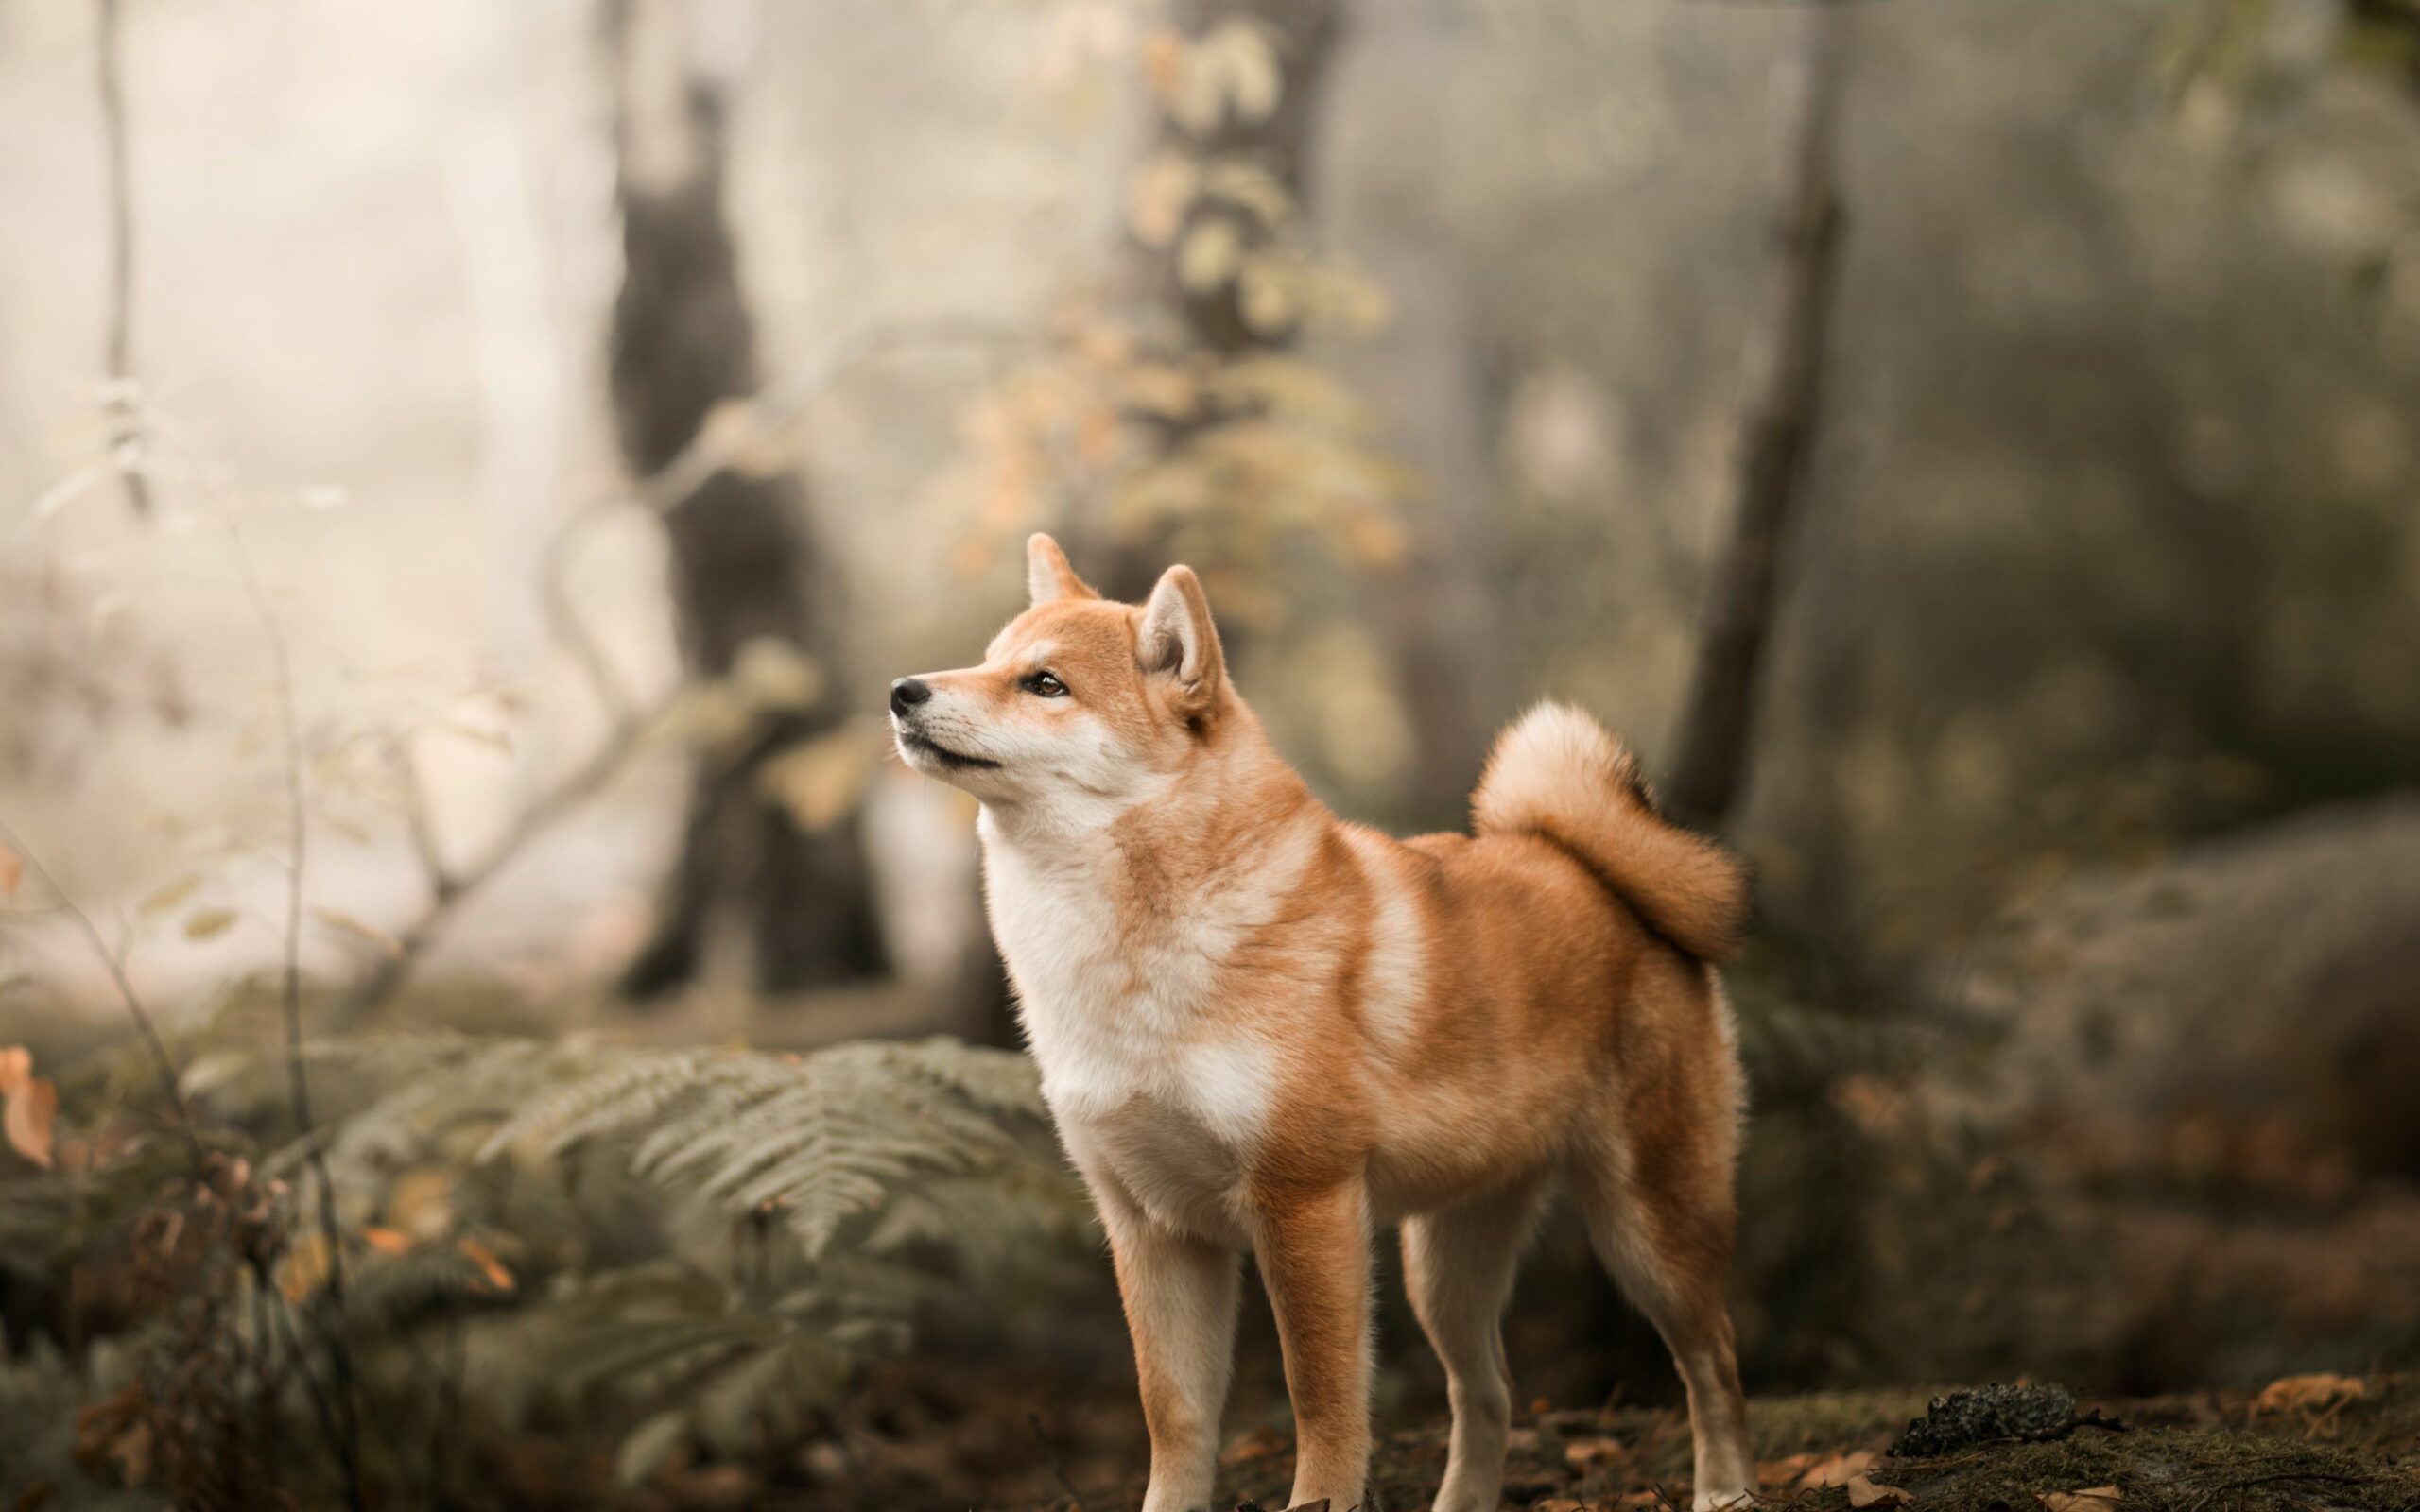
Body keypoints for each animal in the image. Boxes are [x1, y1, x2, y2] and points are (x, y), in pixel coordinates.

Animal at [890, 537, 1761, 1500]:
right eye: (988, 660)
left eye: (1045, 684)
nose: (903, 690)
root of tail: (1593, 872)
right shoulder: (1154, 1229)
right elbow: (1174, 1419)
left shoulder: (1304, 1200)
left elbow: (1323, 1400)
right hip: (1445, 1267)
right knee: (1487, 1392)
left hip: (1651, 1231)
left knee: (1714, 1363)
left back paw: (1726, 1490)